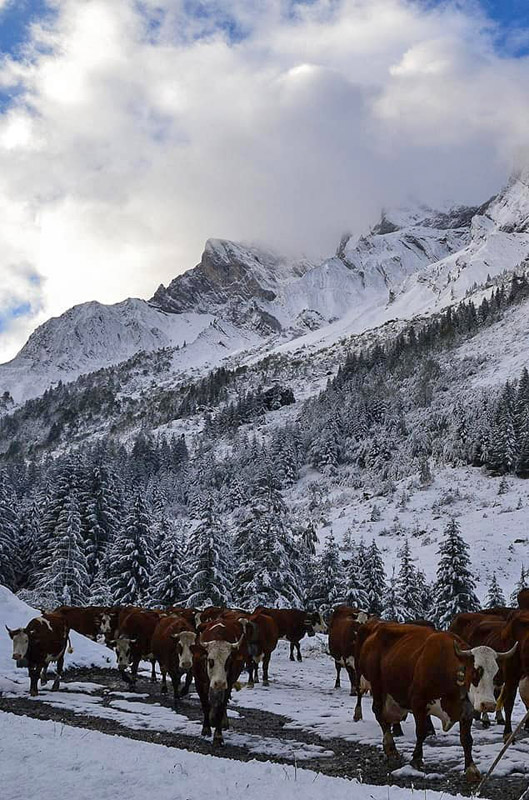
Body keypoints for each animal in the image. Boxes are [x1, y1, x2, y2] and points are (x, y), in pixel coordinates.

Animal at [192, 616, 248, 748]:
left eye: (229, 661)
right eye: (210, 660)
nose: (219, 683)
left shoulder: (228, 683)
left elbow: (221, 706)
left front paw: (218, 736)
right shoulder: (199, 682)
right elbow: (205, 704)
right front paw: (206, 729)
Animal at [354, 620, 516, 780]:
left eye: (496, 674)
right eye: (475, 672)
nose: (488, 704)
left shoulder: (466, 710)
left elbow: (466, 739)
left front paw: (471, 768)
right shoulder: (418, 702)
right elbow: (421, 731)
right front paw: (416, 759)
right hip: (377, 686)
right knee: (379, 714)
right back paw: (390, 747)